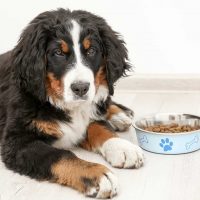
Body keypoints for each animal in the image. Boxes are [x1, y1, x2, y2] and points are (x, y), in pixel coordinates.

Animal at [0, 9, 144, 198]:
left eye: (91, 51)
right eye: (58, 53)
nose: (81, 88)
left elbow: (99, 126)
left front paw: (122, 147)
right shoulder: (18, 142)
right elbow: (60, 155)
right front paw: (97, 174)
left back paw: (119, 115)